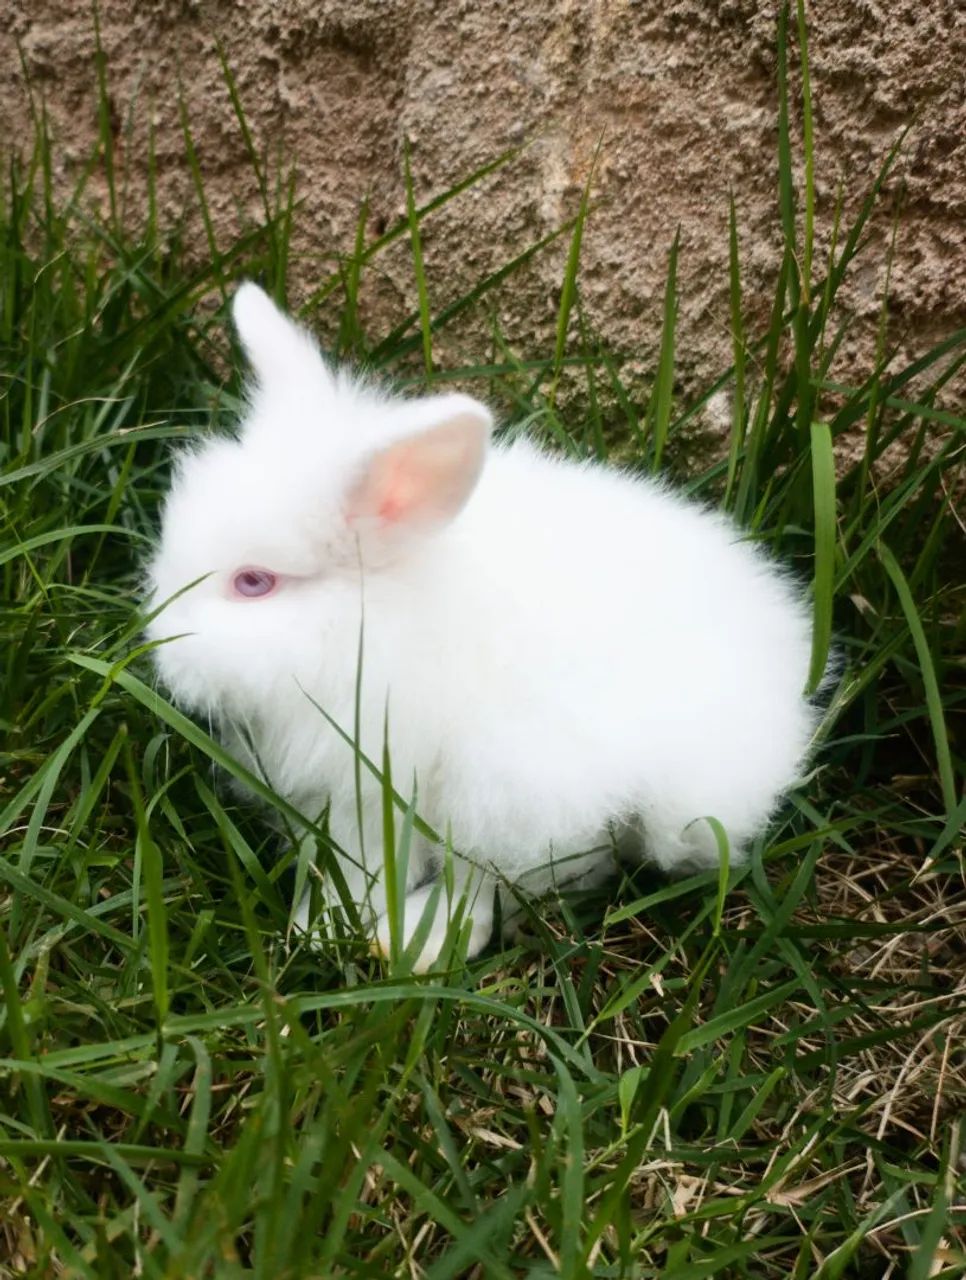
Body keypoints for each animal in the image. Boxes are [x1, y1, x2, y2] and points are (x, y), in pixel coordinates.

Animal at [145, 282, 818, 971]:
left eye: (254, 582)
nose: (161, 655)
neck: (376, 616)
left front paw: (345, 931)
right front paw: (325, 925)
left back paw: (420, 944)